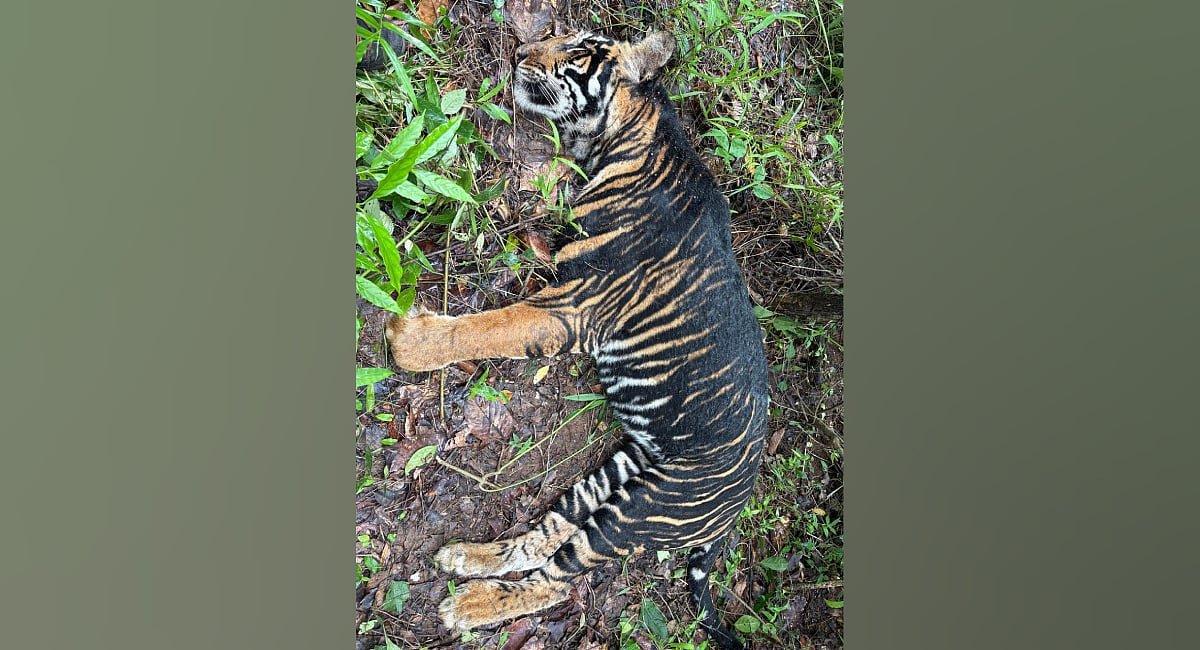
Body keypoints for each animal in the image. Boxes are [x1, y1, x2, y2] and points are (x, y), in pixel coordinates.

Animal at [384, 30, 769, 650]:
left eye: (577, 50)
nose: (519, 54)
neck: (624, 142)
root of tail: (734, 511)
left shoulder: (575, 304)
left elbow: (489, 327)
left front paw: (408, 339)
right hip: (613, 473)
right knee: (543, 537)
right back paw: (465, 559)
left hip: (642, 513)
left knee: (559, 582)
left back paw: (467, 606)